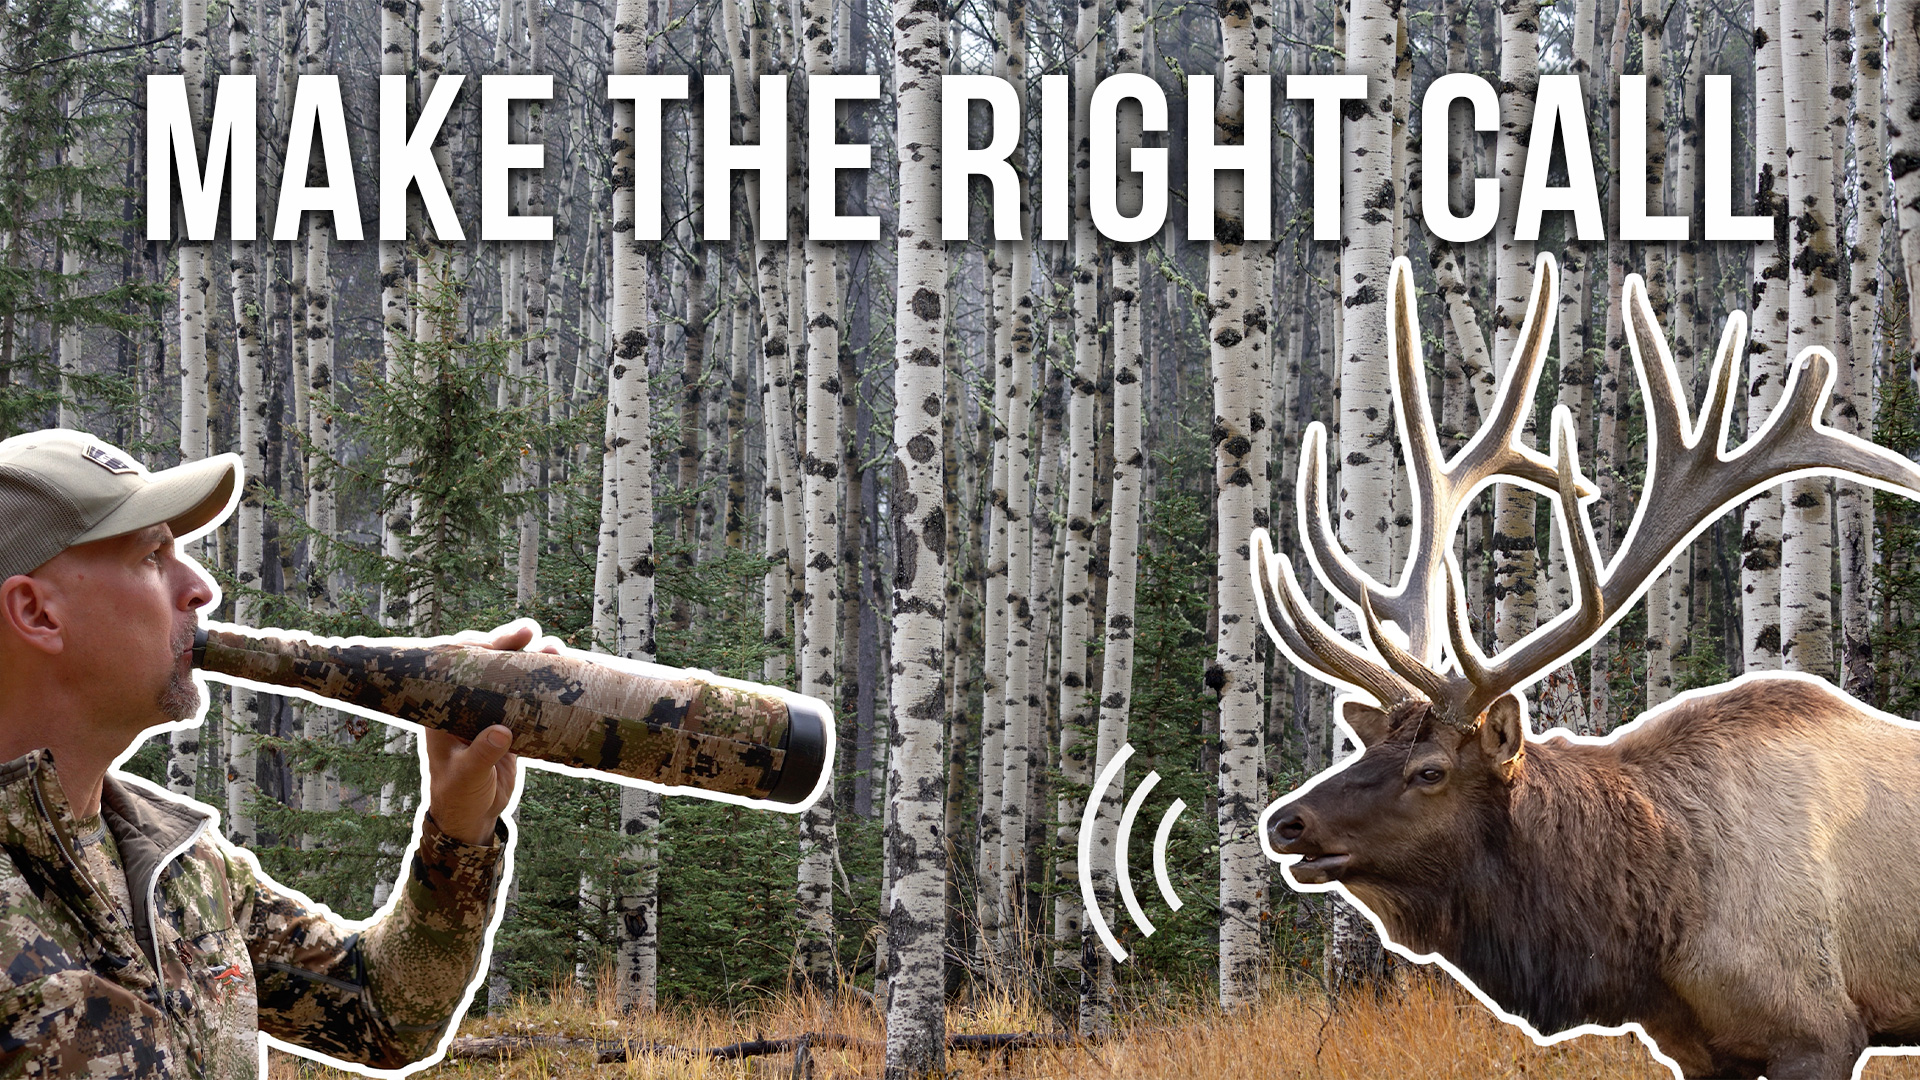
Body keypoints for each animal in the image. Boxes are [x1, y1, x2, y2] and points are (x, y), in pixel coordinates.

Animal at [1252, 253, 1920, 1080]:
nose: (1285, 821)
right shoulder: (1697, 1049)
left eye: (1430, 770)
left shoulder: (1819, 1029)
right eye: (1361, 749)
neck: (1655, 929)